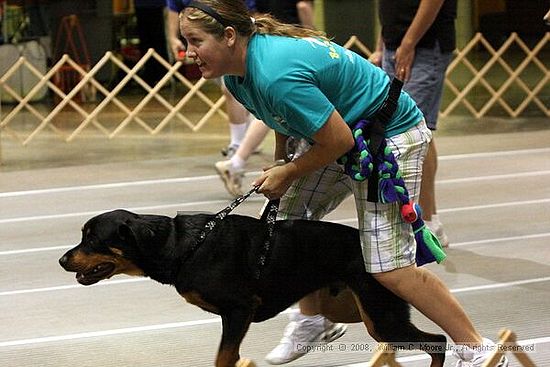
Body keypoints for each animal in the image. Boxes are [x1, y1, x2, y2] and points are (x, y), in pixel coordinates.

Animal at [59, 210, 448, 367]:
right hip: (360, 309)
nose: (62, 260)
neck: (182, 246)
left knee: (438, 341)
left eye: (92, 238)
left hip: (382, 313)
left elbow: (222, 357)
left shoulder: (239, 309)